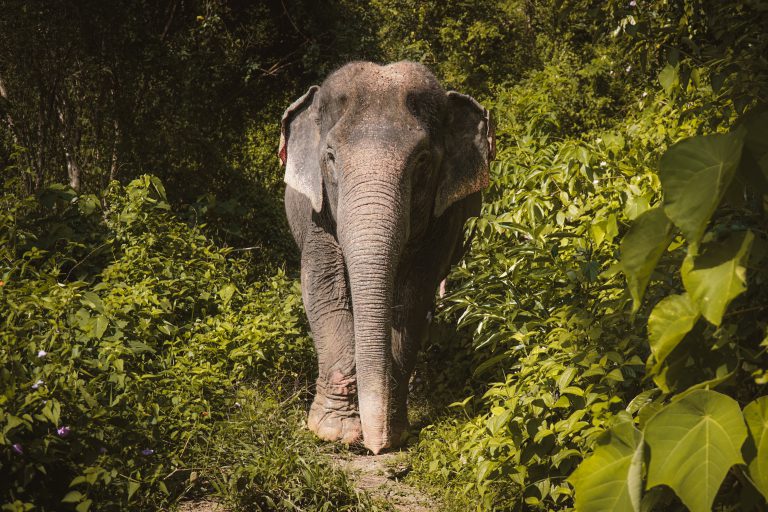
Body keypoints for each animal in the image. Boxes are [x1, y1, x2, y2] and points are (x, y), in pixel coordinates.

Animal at [280, 60, 496, 452]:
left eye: (422, 161)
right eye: (330, 157)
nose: (375, 447)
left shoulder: (445, 218)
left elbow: (413, 296)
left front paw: (393, 430)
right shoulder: (317, 212)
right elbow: (324, 287)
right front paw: (335, 432)